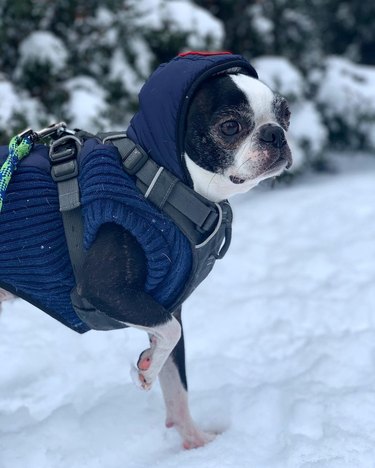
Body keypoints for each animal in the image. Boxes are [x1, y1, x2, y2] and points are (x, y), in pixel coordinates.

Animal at [0, 54, 292, 450]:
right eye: (230, 126)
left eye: (286, 113)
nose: (275, 133)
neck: (161, 179)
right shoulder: (102, 290)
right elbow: (171, 334)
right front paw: (148, 368)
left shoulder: (166, 304)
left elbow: (177, 382)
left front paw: (195, 442)